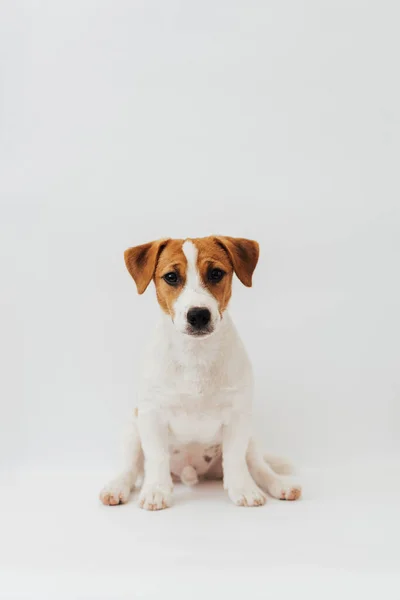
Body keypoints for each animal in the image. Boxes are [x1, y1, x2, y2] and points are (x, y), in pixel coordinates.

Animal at [101, 237, 304, 508]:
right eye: (171, 277)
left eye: (216, 273)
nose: (198, 314)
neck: (195, 354)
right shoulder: (152, 415)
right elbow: (157, 456)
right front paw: (156, 490)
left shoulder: (238, 416)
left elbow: (235, 458)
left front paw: (243, 489)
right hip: (133, 429)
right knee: (131, 468)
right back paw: (117, 487)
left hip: (251, 438)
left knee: (258, 466)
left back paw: (280, 484)